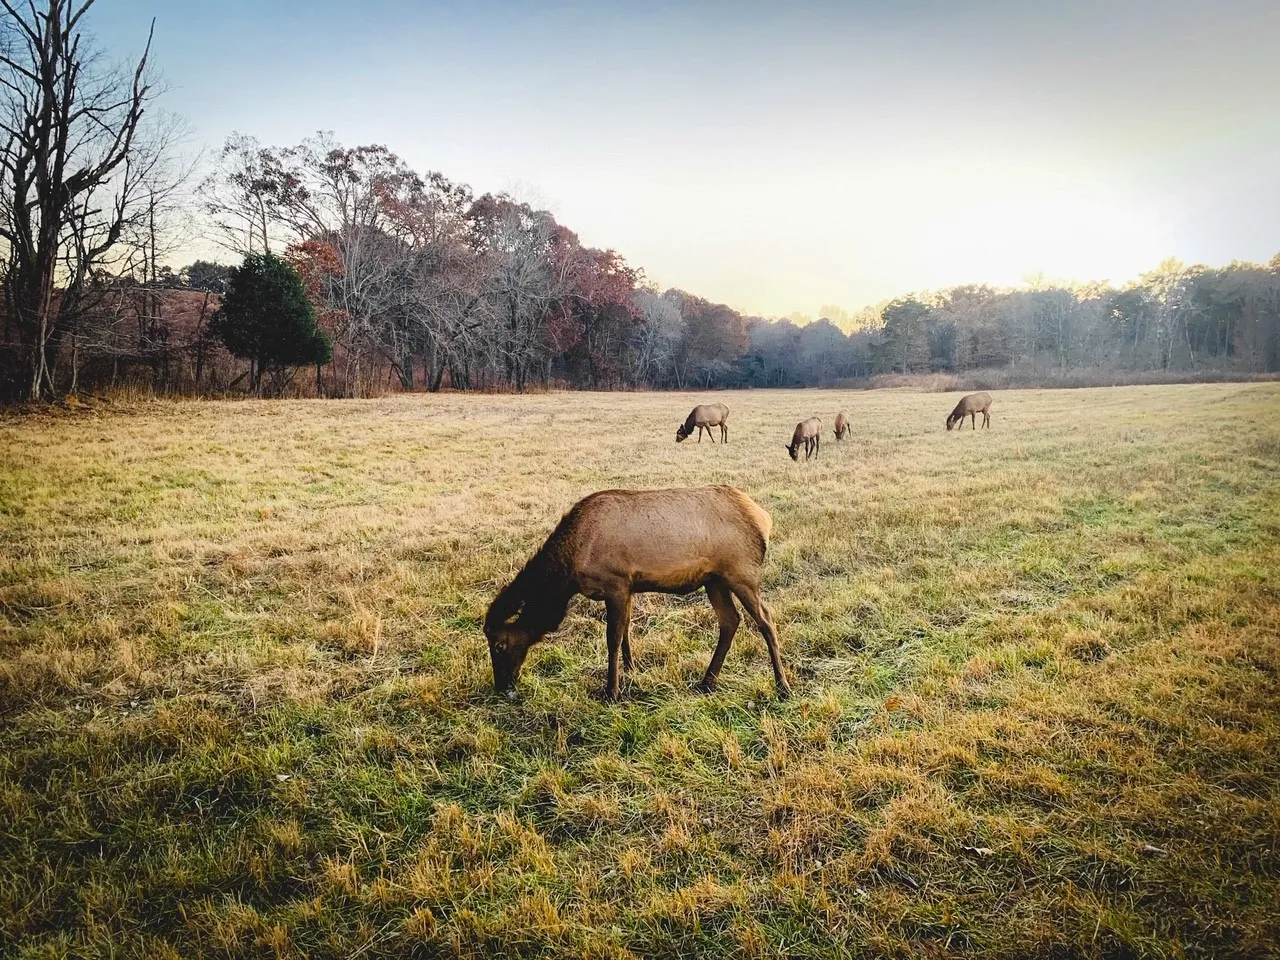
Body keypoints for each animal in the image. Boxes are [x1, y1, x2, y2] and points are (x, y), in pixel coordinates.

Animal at [484, 486, 790, 702]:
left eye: (499, 644)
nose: (501, 686)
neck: (571, 569)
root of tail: (764, 518)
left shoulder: (616, 583)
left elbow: (613, 637)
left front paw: (611, 691)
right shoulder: (629, 587)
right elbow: (627, 631)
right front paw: (631, 669)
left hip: (741, 573)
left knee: (766, 621)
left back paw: (782, 687)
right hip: (714, 581)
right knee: (730, 621)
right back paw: (706, 681)